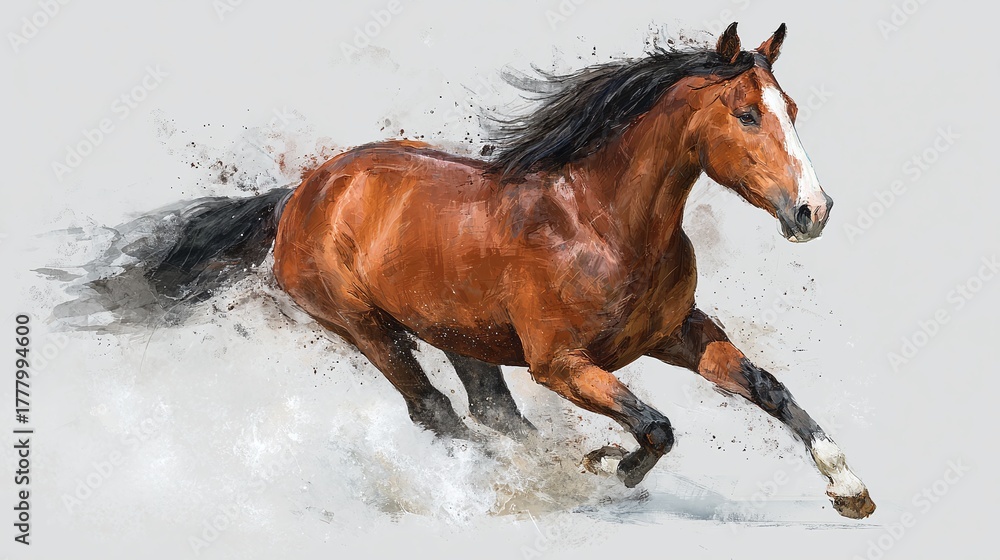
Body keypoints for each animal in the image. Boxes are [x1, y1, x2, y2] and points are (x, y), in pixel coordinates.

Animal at [121, 22, 874, 518]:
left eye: (791, 110)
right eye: (746, 115)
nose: (813, 210)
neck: (600, 222)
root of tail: (302, 194)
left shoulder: (676, 332)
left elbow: (767, 387)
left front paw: (849, 488)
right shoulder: (561, 364)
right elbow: (655, 425)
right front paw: (604, 465)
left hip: (462, 334)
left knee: (491, 411)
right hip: (364, 327)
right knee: (435, 410)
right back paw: (519, 477)